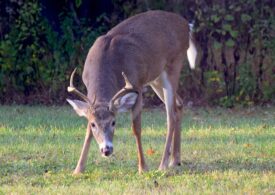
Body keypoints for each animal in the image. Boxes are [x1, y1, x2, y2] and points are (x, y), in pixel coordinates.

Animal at [67, 9, 197, 174]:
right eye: (93, 124)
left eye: (114, 122)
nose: (106, 150)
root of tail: (187, 26)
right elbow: (87, 133)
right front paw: (78, 169)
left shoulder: (137, 85)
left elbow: (136, 128)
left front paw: (143, 167)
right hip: (156, 78)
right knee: (179, 104)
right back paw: (175, 160)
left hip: (173, 65)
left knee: (171, 116)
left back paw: (163, 164)